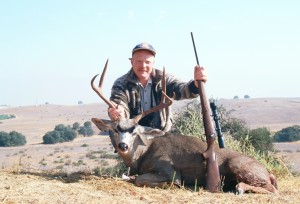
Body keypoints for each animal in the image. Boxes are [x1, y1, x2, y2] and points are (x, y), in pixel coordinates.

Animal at [90, 59, 278, 194]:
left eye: (135, 131)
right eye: (116, 129)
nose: (123, 145)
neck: (143, 153)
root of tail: (268, 172)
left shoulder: (170, 171)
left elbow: (140, 179)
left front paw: (172, 186)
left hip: (238, 166)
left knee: (272, 189)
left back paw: (240, 188)